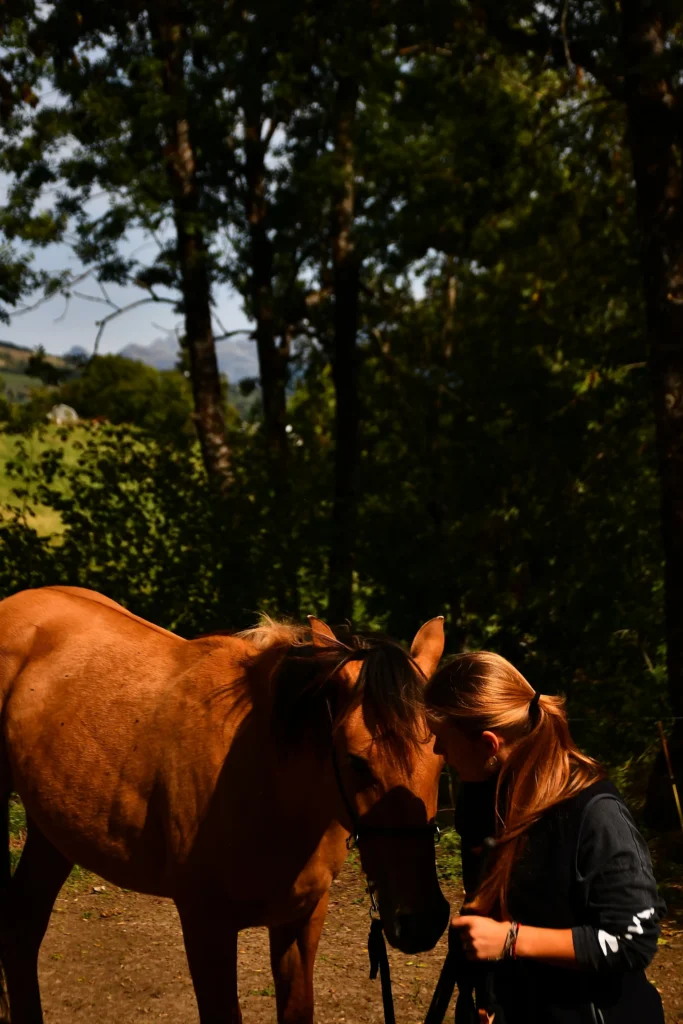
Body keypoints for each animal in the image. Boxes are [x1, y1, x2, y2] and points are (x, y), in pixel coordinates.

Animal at [0, 585, 449, 1024]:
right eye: (356, 761)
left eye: (440, 758)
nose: (420, 922)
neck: (270, 786)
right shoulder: (205, 925)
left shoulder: (302, 918)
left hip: (53, 830)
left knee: (23, 925)